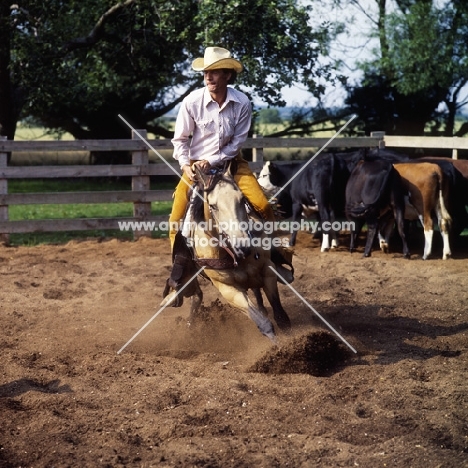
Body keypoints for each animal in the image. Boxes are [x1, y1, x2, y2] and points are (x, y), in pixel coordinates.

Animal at [162, 162, 292, 344]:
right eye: (213, 206)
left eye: (242, 200)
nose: (243, 245)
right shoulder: (227, 288)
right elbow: (262, 322)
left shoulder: (268, 270)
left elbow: (280, 316)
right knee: (196, 295)